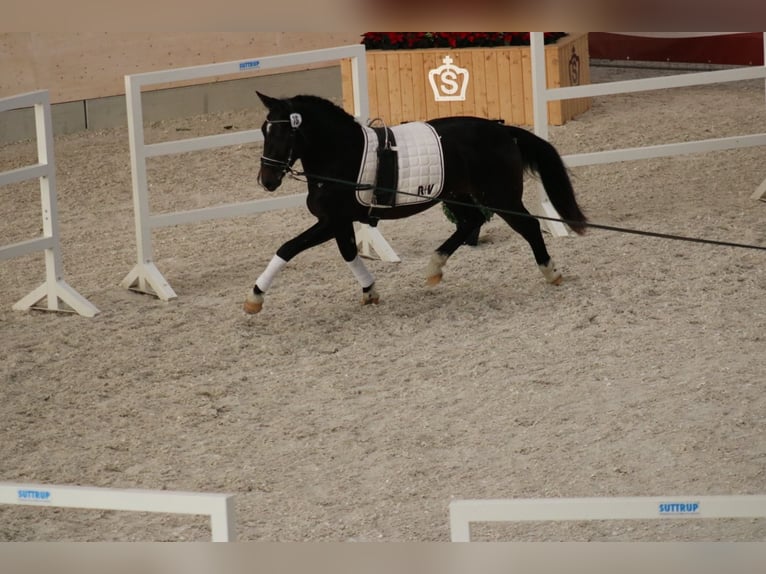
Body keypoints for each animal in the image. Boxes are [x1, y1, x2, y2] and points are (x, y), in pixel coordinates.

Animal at [244, 91, 587, 314]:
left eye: (284, 134)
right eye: (263, 130)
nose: (267, 180)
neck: (341, 156)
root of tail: (503, 130)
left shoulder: (331, 221)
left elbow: (287, 248)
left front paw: (255, 299)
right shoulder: (339, 222)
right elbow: (349, 253)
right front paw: (370, 291)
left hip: (500, 196)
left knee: (529, 226)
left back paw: (551, 272)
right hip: (456, 195)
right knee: (471, 222)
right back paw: (435, 267)